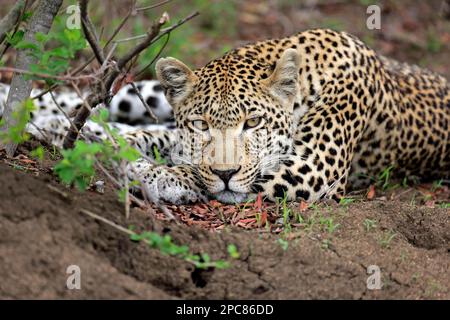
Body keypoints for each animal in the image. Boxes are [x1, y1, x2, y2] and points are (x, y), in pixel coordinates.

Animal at [124, 29, 450, 205]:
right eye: (201, 125)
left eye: (253, 122)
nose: (225, 174)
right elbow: (162, 139)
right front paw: (125, 148)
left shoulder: (314, 167)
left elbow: (202, 172)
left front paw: (157, 175)